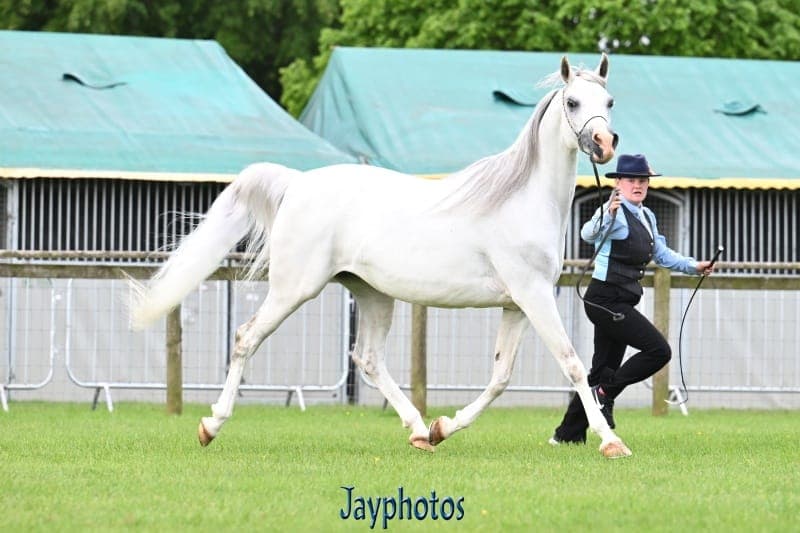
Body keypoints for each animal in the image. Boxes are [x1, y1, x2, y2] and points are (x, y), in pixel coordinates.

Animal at [131, 53, 632, 459]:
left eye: (609, 102)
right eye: (573, 102)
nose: (605, 143)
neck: (521, 199)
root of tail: (297, 182)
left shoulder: (518, 305)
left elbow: (500, 377)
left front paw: (443, 426)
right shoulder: (533, 297)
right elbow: (572, 363)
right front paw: (611, 441)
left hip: (372, 294)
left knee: (368, 359)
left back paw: (419, 431)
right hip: (295, 289)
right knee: (246, 338)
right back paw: (210, 425)